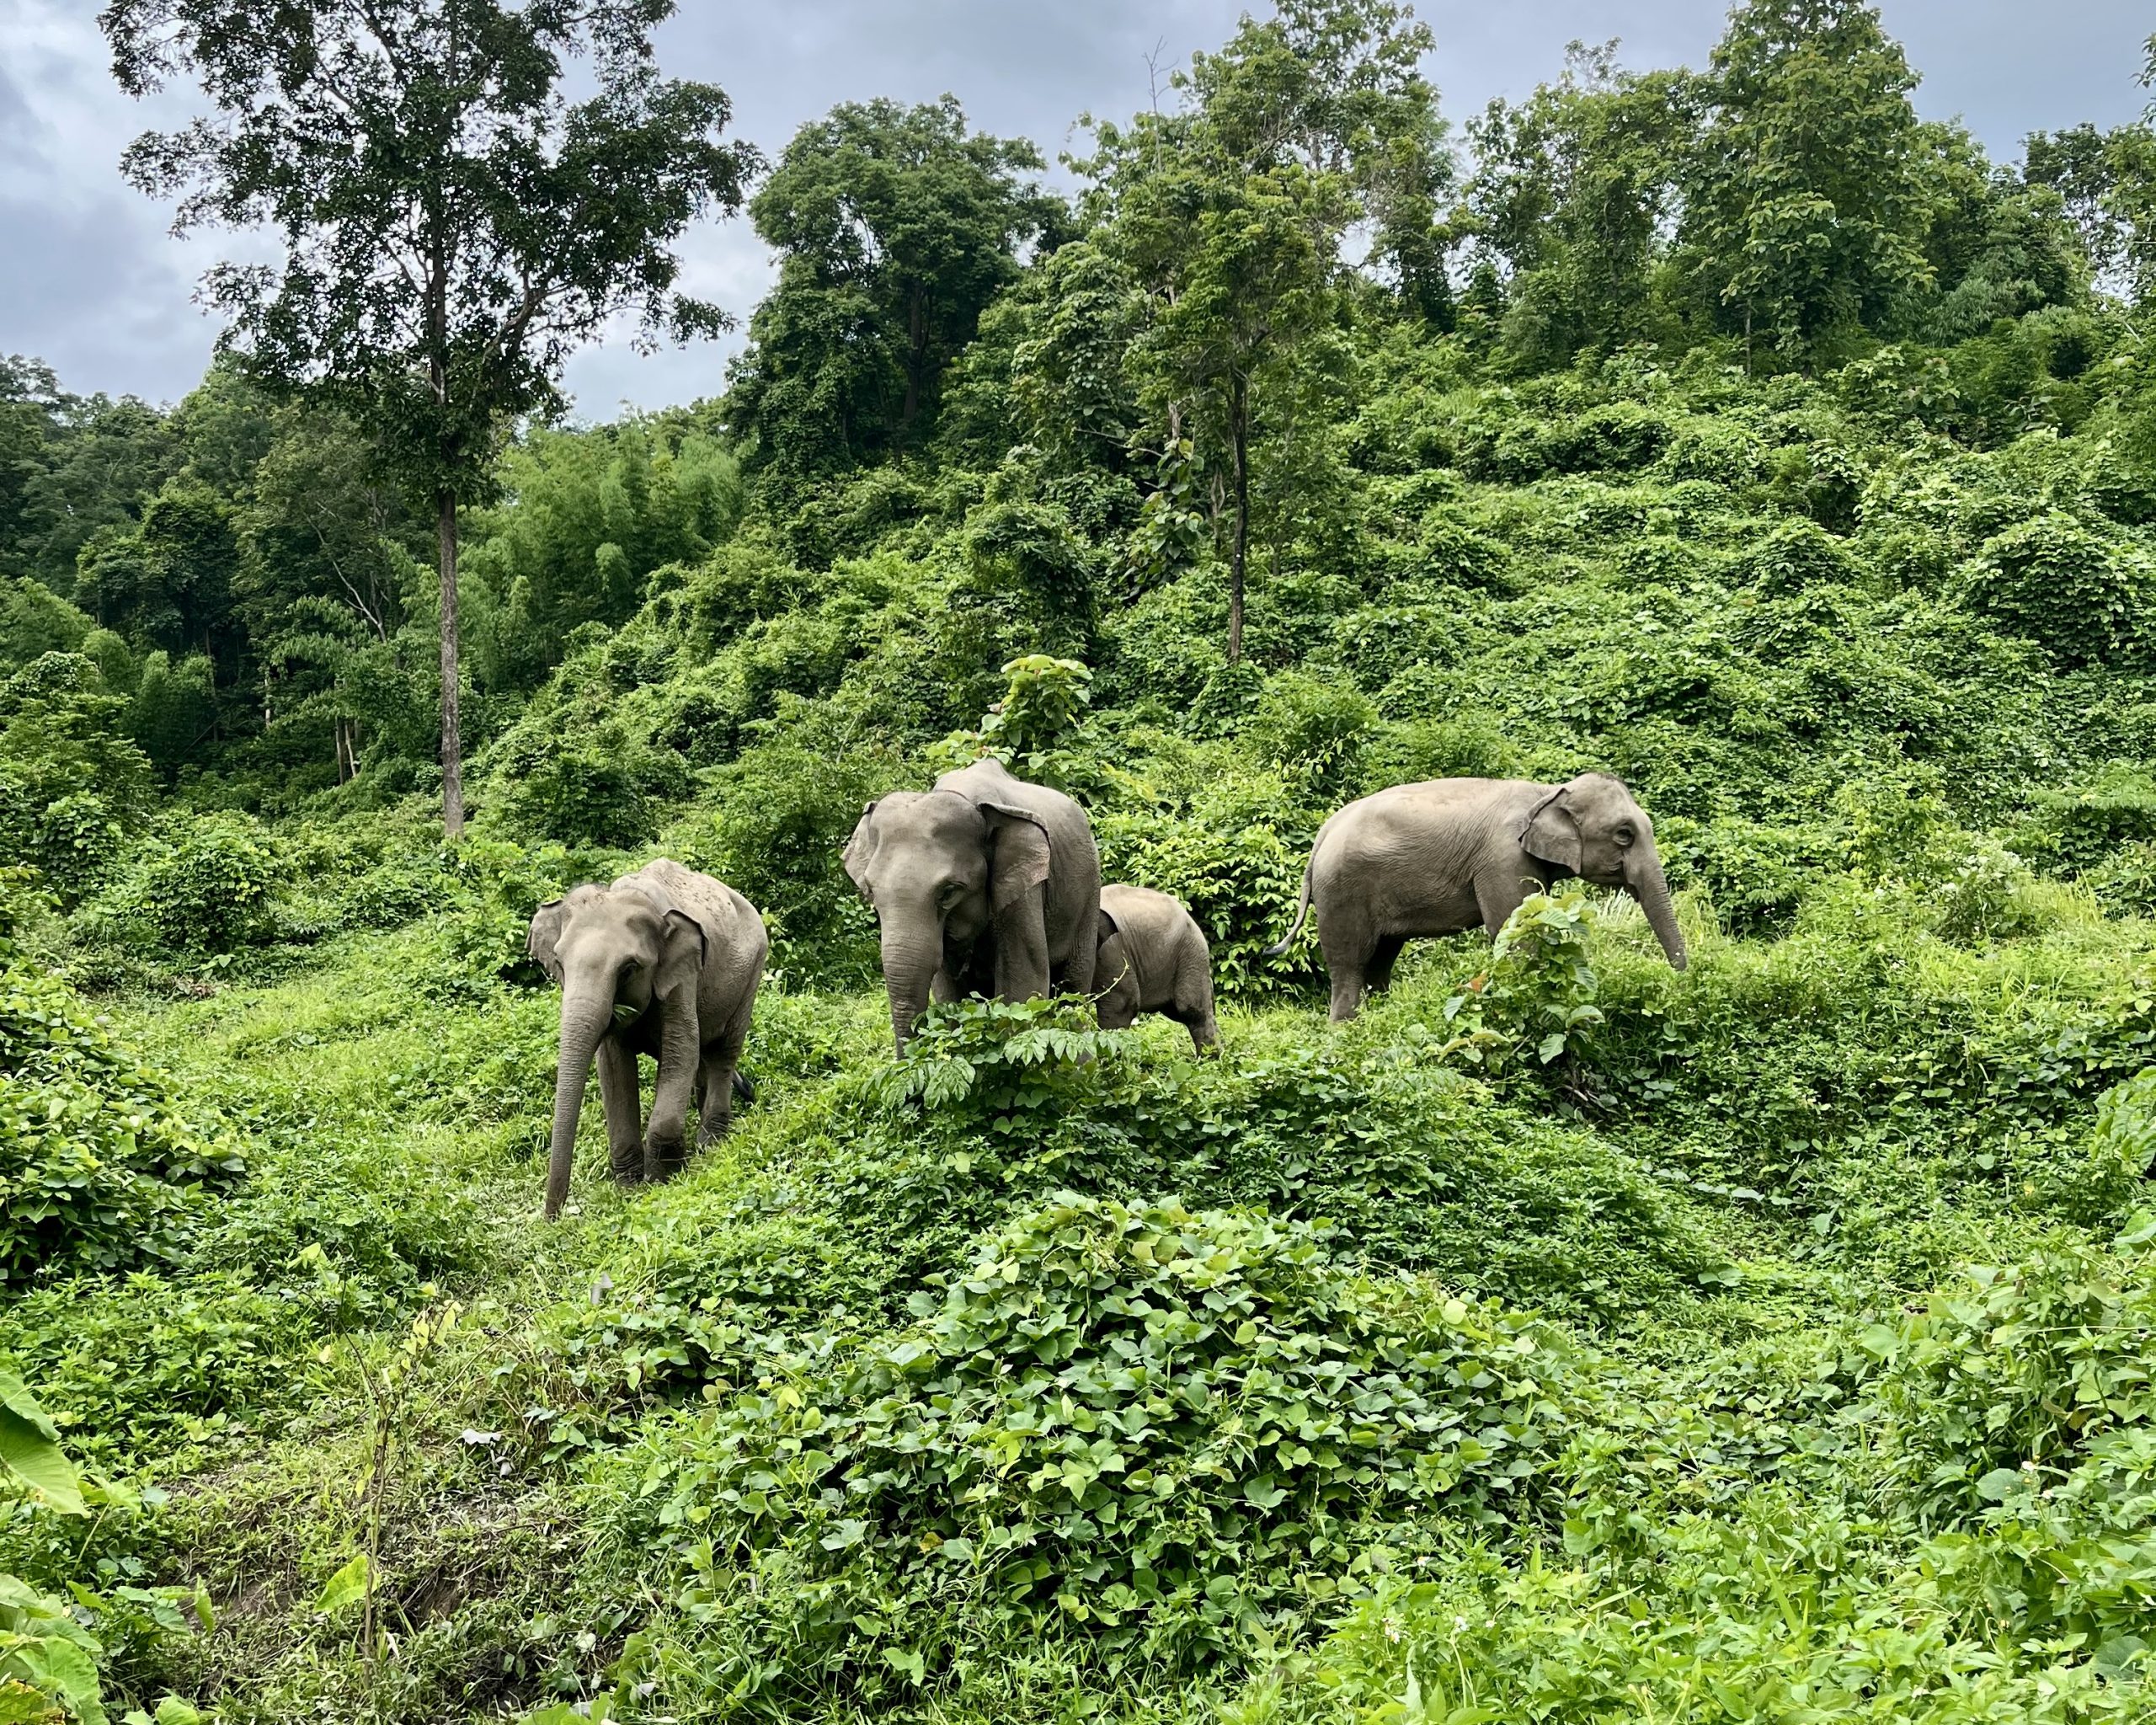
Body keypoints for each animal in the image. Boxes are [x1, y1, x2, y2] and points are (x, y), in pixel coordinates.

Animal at [526, 858, 767, 1220]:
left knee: (722, 1051)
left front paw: (660, 1182)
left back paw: (710, 1143)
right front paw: (629, 1187)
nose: (552, 1218)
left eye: (628, 969)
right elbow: (614, 1067)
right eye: (558, 963)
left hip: (751, 973)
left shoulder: (683, 973)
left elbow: (681, 1052)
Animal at [843, 756, 1101, 1053]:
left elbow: (1024, 980)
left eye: (948, 892)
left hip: (1089, 893)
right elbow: (948, 991)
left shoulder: (1023, 890)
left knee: (1074, 985)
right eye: (871, 891)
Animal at [1267, 772, 1687, 1021]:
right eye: (1624, 835)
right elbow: (1513, 932)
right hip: (1342, 890)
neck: (1547, 793)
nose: (1680, 979)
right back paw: (1345, 1030)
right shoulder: (1502, 860)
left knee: (1380, 960)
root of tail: (1323, 834)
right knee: (1350, 963)